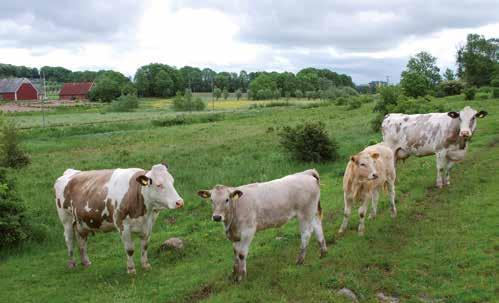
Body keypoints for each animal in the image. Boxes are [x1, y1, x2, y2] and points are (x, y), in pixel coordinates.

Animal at [55, 165, 184, 274]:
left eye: (172, 181)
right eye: (158, 185)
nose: (179, 202)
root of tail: (71, 172)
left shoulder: (149, 224)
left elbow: (145, 246)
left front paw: (145, 265)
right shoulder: (123, 226)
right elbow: (130, 249)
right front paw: (131, 270)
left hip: (81, 222)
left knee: (81, 241)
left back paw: (86, 262)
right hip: (66, 219)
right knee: (69, 240)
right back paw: (72, 264)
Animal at [195, 170, 328, 284]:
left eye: (227, 199)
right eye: (211, 200)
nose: (217, 217)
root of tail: (305, 173)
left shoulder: (248, 231)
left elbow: (241, 254)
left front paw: (242, 276)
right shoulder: (235, 235)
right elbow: (235, 254)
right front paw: (234, 275)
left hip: (305, 213)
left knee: (306, 233)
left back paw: (300, 261)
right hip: (312, 211)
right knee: (317, 226)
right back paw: (323, 253)